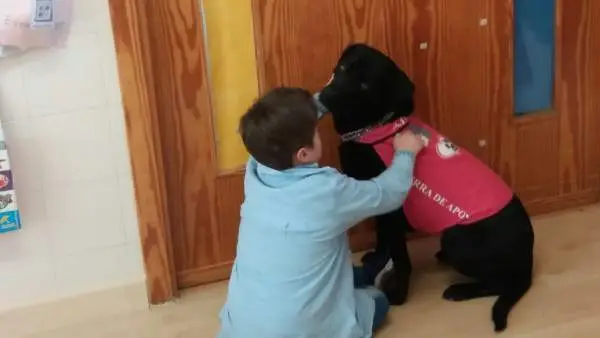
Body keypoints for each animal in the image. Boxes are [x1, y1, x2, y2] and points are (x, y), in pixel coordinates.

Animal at [314, 43, 536, 332]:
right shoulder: (379, 206)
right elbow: (382, 240)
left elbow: (400, 257)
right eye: (342, 68)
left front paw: (398, 295)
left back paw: (460, 290)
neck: (374, 129)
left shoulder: (392, 211)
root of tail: (528, 259)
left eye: (364, 84)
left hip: (456, 239)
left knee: (500, 282)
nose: (327, 94)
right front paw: (375, 258)